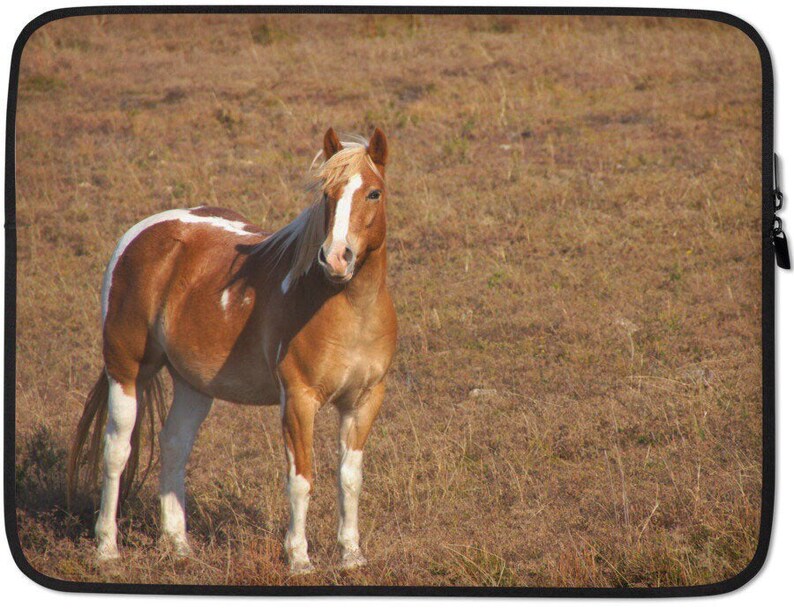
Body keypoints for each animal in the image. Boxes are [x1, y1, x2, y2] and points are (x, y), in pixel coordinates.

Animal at [67, 128, 397, 574]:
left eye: (374, 193)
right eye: (327, 195)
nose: (336, 258)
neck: (345, 306)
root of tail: (142, 234)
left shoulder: (363, 401)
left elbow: (350, 478)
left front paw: (352, 556)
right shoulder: (299, 400)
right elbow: (301, 479)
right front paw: (299, 558)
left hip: (193, 385)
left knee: (174, 445)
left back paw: (179, 545)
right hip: (127, 369)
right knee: (117, 450)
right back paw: (107, 548)